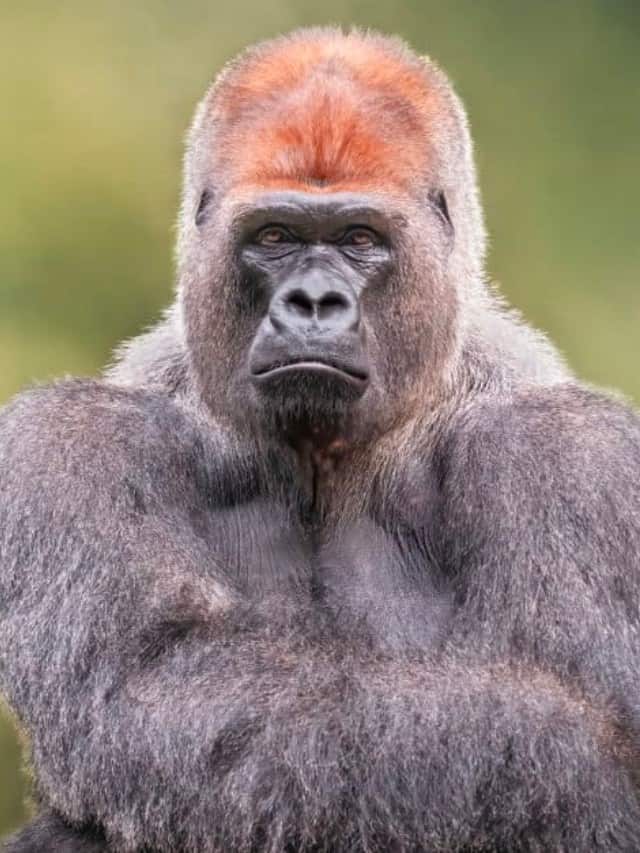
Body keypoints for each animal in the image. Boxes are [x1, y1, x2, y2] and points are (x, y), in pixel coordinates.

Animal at [3, 25, 640, 852]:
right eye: (274, 236)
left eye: (360, 238)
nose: (312, 301)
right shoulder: (71, 439)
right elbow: (148, 679)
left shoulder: (569, 452)